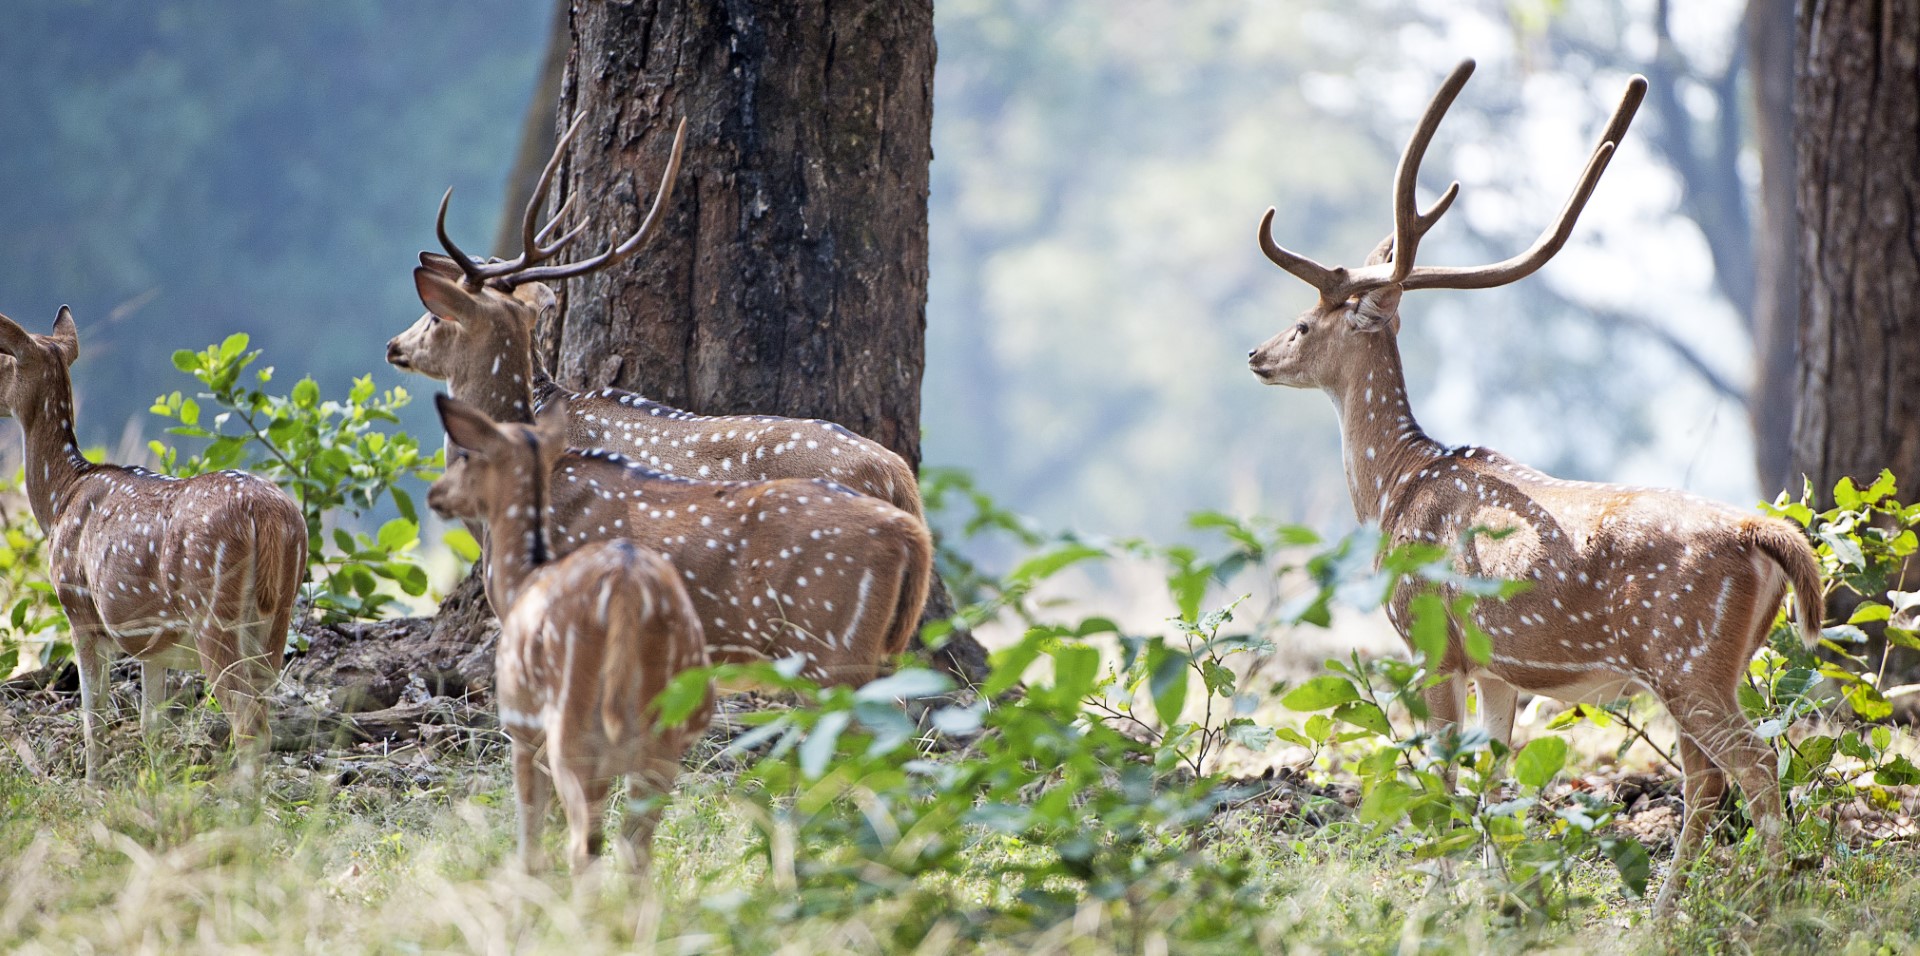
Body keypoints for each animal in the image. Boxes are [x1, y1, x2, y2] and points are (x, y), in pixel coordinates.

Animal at [0, 307, 307, 783]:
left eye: (2, 360)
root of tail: (269, 514)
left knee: (248, 724)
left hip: (213, 612)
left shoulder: (79, 609)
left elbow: (94, 718)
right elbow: (150, 725)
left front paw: (93, 786)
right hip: (277, 616)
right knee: (263, 713)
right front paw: (157, 784)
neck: (60, 499)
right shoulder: (152, 641)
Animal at [430, 394, 711, 874]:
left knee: (588, 844)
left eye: (465, 455)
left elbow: (530, 833)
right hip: (665, 739)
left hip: (575, 736)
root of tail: (626, 589)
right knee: (636, 848)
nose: (434, 493)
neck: (521, 580)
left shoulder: (521, 728)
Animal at [1246, 60, 1822, 914]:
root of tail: (1765, 533)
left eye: (1305, 323)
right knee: (1709, 776)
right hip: (1716, 661)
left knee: (1751, 764)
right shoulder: (1498, 668)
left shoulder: (1430, 637)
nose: (1256, 354)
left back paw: (1765, 904)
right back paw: (1667, 912)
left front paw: (1438, 898)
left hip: (1685, 658)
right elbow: (1496, 779)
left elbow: (1446, 777)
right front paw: (1501, 900)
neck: (1394, 487)